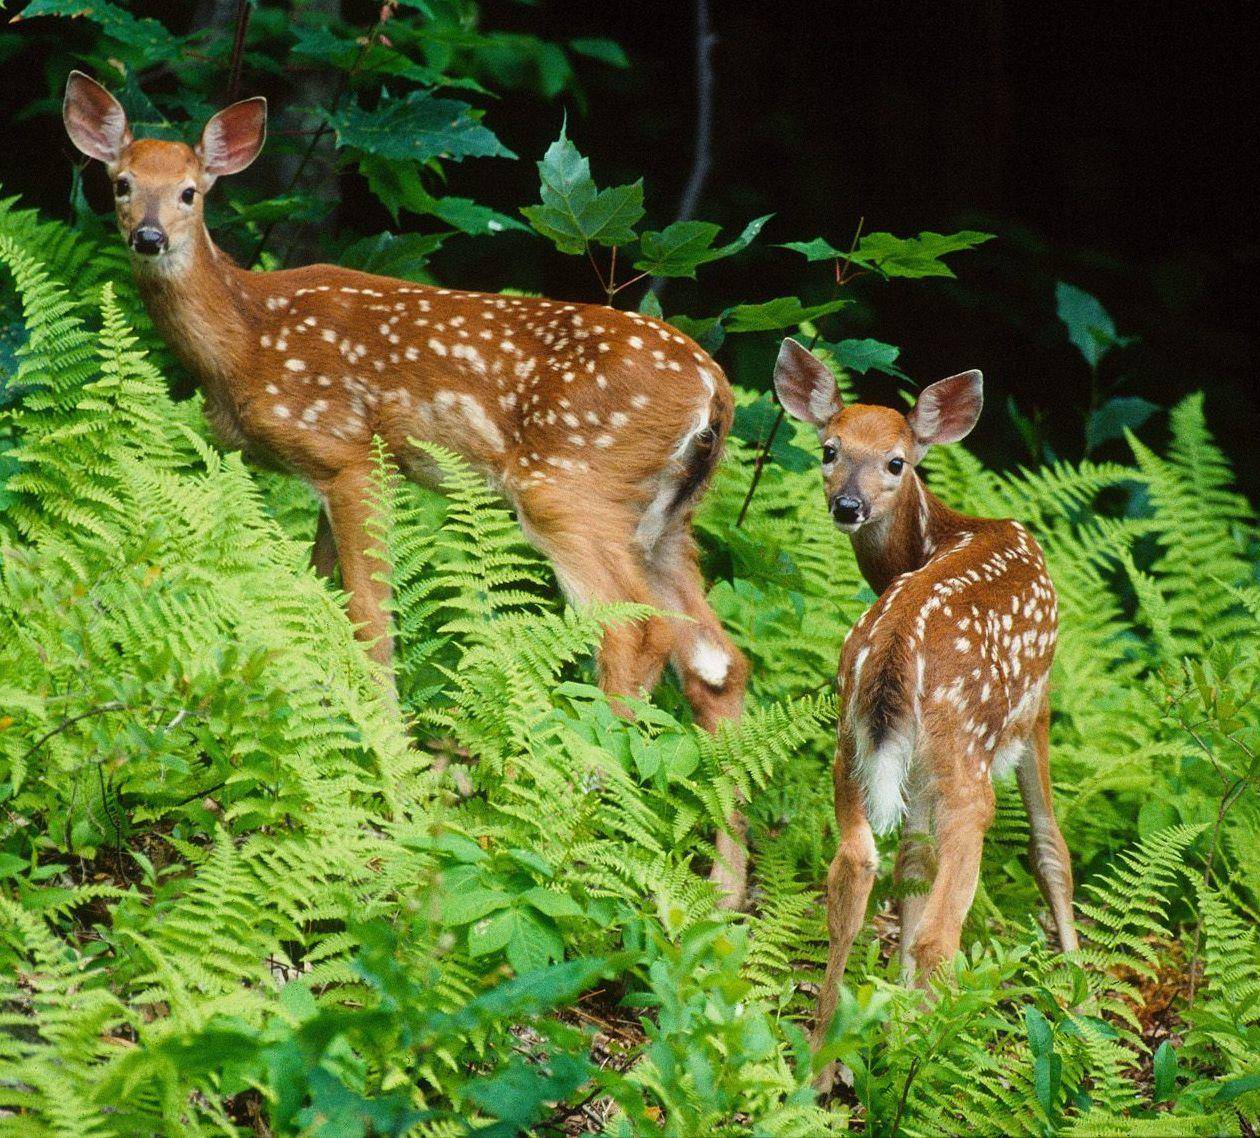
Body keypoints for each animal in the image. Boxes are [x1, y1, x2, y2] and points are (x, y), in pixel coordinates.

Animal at [66, 73, 745, 907]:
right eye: (122, 183)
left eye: (192, 191)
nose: (150, 238)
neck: (247, 341)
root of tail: (715, 390)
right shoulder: (322, 477)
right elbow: (310, 608)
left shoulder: (352, 454)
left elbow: (369, 623)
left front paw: (392, 784)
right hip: (668, 520)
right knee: (716, 662)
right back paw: (724, 892)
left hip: (571, 484)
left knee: (634, 632)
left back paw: (572, 829)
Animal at [771, 337, 1078, 1078]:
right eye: (829, 448)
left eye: (896, 461)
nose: (848, 504)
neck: (944, 532)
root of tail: (894, 648)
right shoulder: (1038, 702)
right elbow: (1050, 848)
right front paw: (1083, 999)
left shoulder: (904, 764)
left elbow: (909, 864)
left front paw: (895, 1004)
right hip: (965, 754)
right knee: (945, 925)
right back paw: (928, 1062)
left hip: (850, 743)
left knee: (855, 869)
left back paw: (820, 1066)